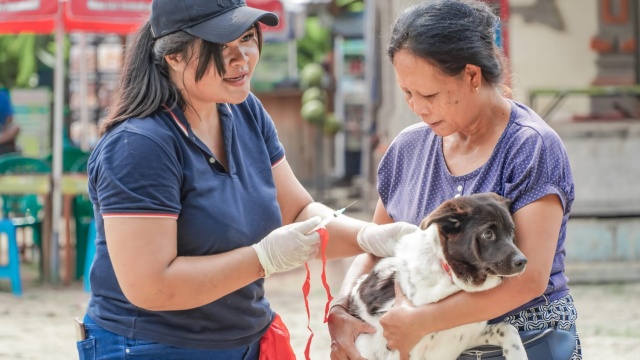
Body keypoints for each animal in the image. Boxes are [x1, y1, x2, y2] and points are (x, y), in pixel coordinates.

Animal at [348, 194, 528, 360]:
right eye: (488, 233)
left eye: (512, 231)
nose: (523, 261)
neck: (450, 276)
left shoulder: (470, 335)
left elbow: (508, 329)